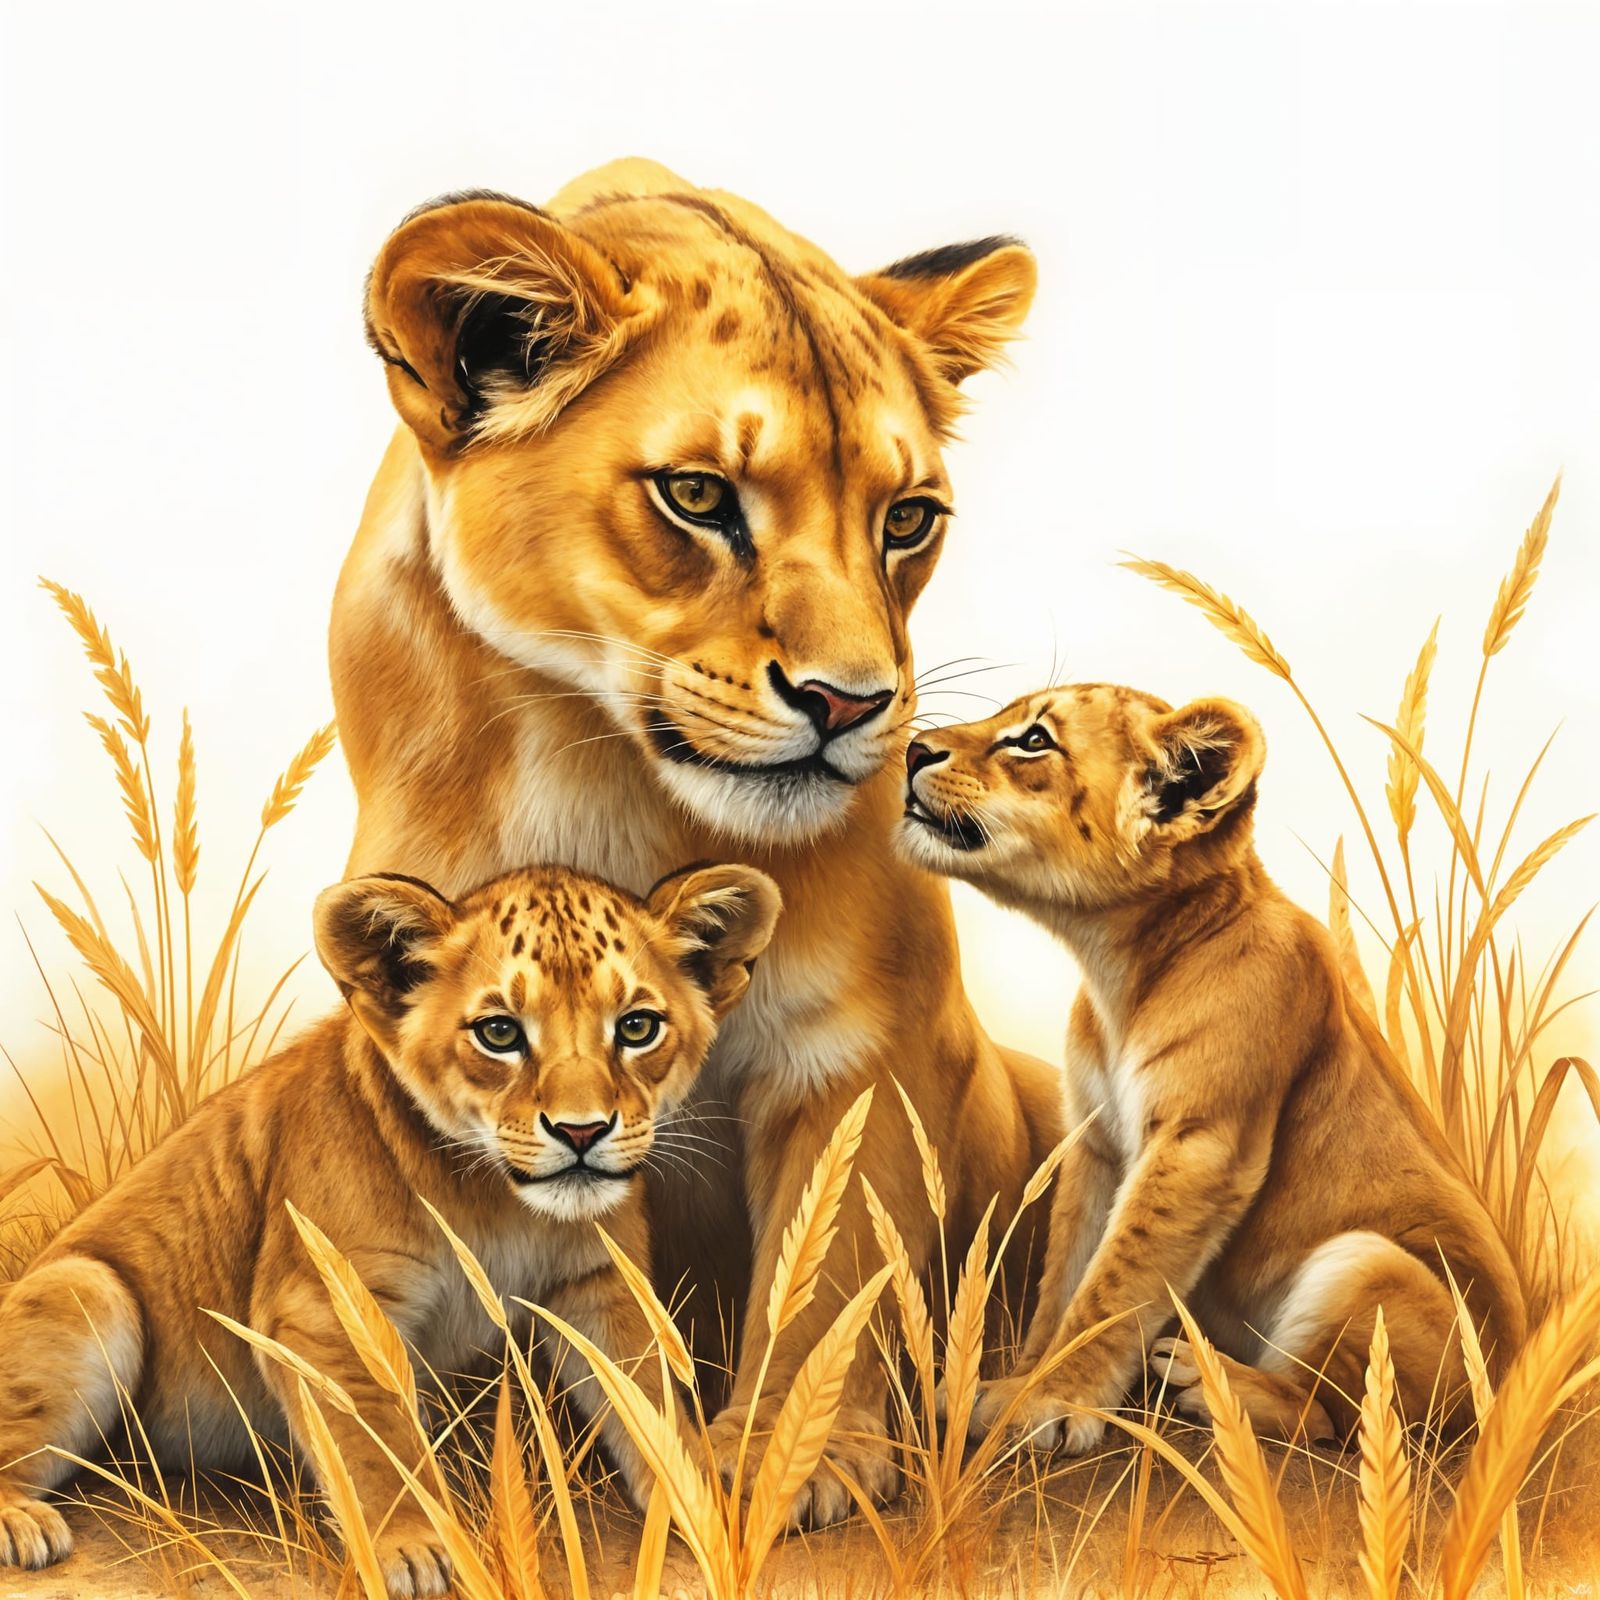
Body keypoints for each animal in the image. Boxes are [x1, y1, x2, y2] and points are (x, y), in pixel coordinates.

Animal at [0, 859, 778, 1595]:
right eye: (500, 1033)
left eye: (637, 1027)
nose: (582, 1131)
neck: (498, 1201)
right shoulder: (324, 1304)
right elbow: (376, 1440)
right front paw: (416, 1546)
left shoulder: (602, 1284)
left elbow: (649, 1399)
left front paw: (700, 1503)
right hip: (87, 1289)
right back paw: (21, 1524)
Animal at [331, 158, 1064, 1523]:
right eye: (698, 496)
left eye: (906, 518)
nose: (850, 703)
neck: (610, 775)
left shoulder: (858, 1044)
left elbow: (829, 1267)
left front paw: (788, 1458)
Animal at [896, 682, 1527, 1454]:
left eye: (1034, 740)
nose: (913, 749)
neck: (1121, 967)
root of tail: (1511, 1385)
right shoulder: (1098, 1143)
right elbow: (1068, 1271)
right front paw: (1018, 1381)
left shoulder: (1200, 1146)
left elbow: (1115, 1281)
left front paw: (1049, 1400)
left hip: (1366, 1264)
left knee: (1337, 1416)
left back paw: (1207, 1379)